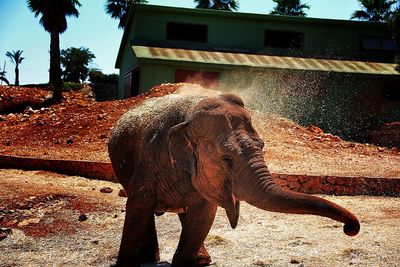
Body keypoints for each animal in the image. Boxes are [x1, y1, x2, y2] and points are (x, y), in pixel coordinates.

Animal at [107, 92, 360, 267]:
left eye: (262, 146)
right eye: (227, 158)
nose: (350, 229)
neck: (189, 115)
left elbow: (203, 215)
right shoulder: (150, 159)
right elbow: (138, 206)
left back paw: (201, 261)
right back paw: (150, 258)